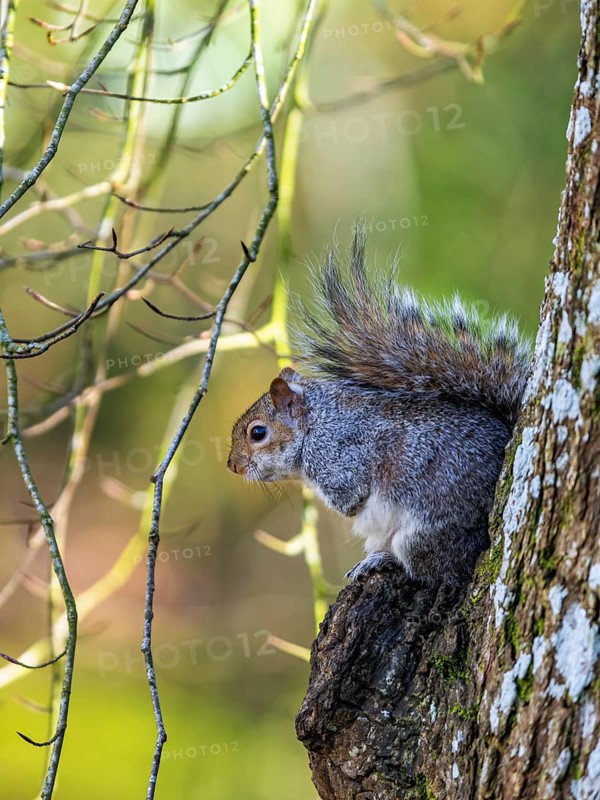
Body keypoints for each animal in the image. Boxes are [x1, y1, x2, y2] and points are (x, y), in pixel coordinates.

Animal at [227, 226, 531, 587]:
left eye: (258, 433)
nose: (233, 466)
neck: (317, 424)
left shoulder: (341, 457)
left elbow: (350, 498)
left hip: (425, 532)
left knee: (438, 571)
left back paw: (382, 561)